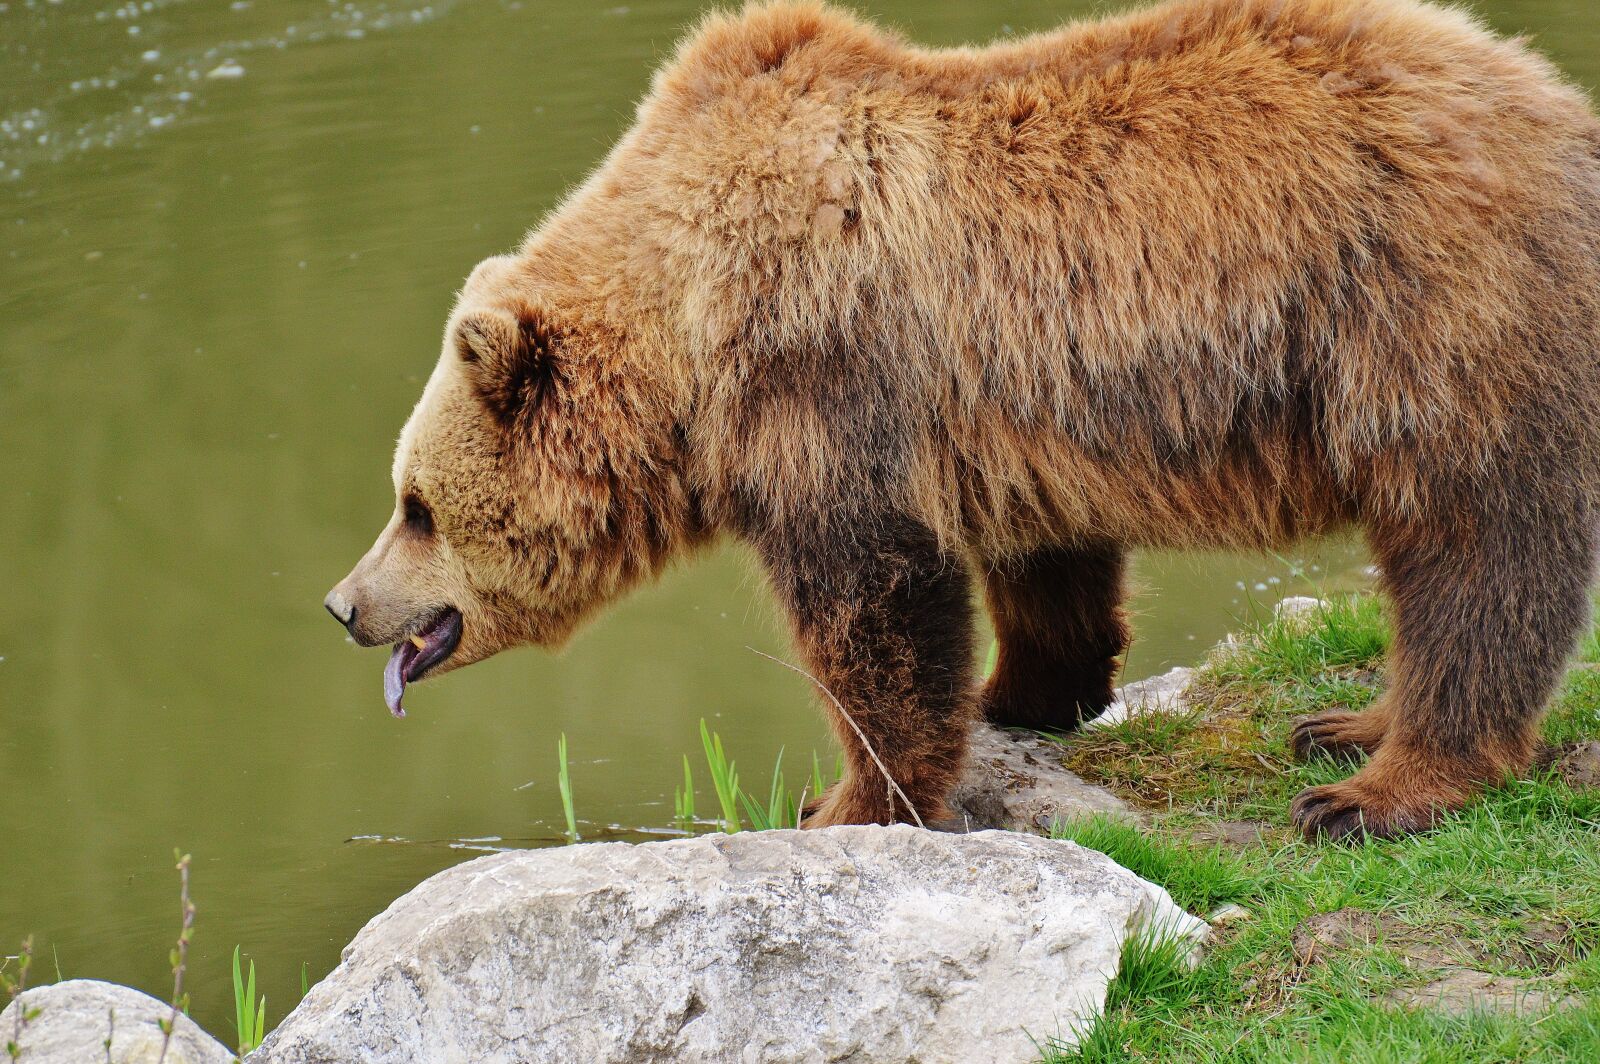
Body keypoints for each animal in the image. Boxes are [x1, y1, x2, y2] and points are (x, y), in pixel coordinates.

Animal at [325, 0, 1600, 841]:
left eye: (413, 503)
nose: (344, 603)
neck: (685, 323)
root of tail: (1559, 105)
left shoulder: (820, 374)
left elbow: (870, 602)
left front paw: (842, 797)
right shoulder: (1011, 397)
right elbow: (1042, 562)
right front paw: (1024, 691)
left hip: (1430, 311)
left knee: (1473, 550)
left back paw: (1373, 786)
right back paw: (1344, 722)